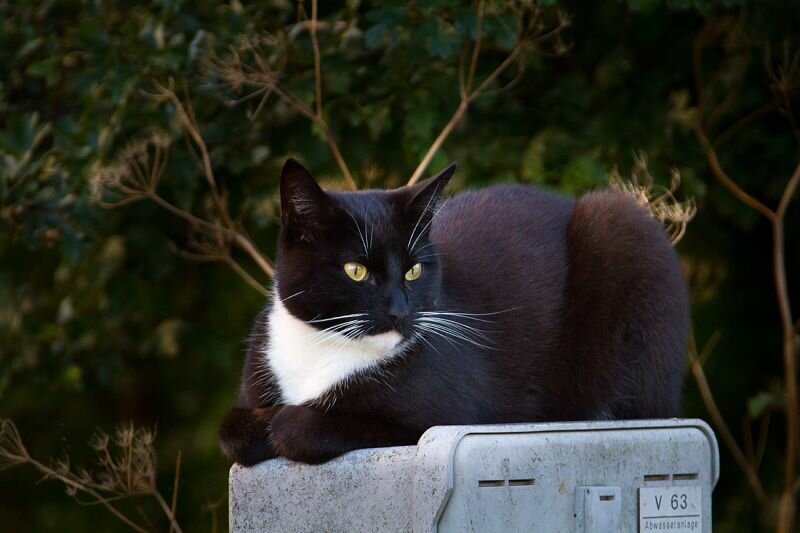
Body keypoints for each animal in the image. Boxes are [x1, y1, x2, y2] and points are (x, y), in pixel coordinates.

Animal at [217, 156, 688, 464]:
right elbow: (230, 428)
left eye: (413, 270)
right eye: (355, 270)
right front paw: (260, 426)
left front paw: (285, 423)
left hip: (622, 230)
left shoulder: (446, 415)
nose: (399, 311)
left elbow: (305, 426)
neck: (327, 350)